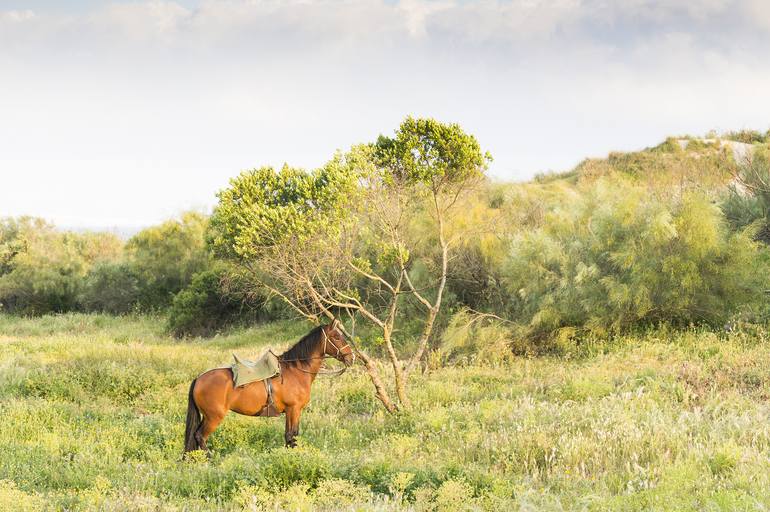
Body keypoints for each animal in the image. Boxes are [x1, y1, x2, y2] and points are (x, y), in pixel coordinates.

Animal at [183, 318, 354, 454]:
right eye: (336, 337)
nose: (351, 357)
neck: (295, 370)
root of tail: (199, 379)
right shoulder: (293, 409)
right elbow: (291, 436)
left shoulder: (293, 411)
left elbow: (291, 436)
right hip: (214, 417)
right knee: (200, 437)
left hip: (207, 416)